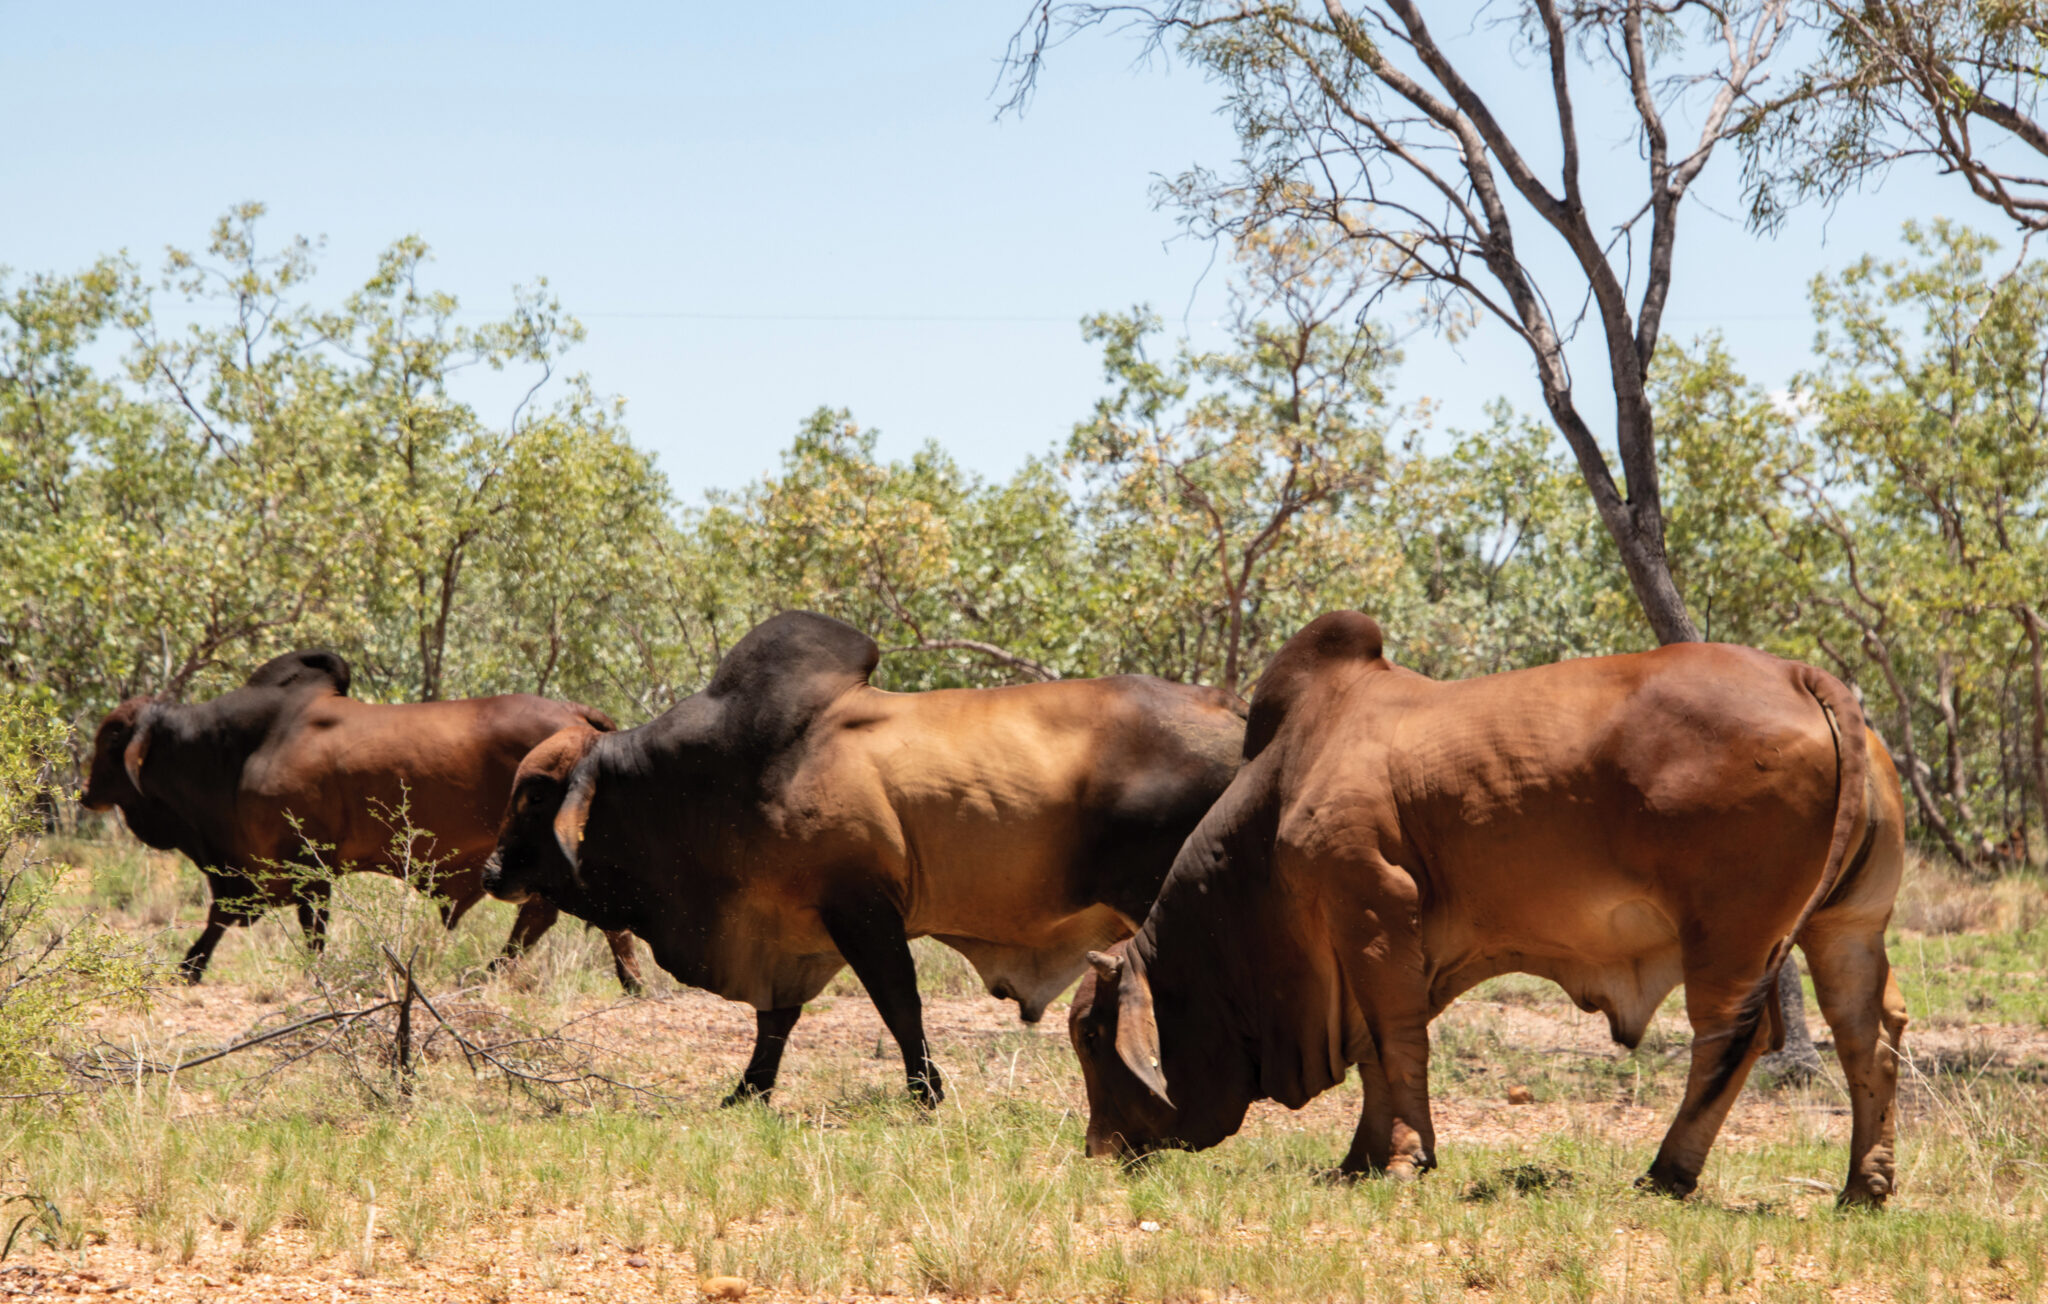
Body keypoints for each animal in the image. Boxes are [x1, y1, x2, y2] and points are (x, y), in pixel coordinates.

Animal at [79, 650, 638, 986]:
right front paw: (190, 968)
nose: (85, 795)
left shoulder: (305, 867)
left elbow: (304, 930)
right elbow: (222, 919)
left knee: (557, 916)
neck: (243, 747)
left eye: (112, 737)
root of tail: (578, 717)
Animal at [483, 605, 1245, 1097]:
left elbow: (899, 1005)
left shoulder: (863, 911)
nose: (492, 871)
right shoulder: (790, 936)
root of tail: (1231, 711)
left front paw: (927, 1094)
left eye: (537, 796)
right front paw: (747, 1093)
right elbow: (776, 1021)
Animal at [1073, 614, 1900, 1203]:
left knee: (1733, 1038)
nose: (1094, 1151)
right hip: (1846, 929)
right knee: (1871, 1035)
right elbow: (1374, 1054)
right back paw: (1864, 1185)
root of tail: (1800, 674)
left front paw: (1403, 1160)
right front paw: (1360, 1159)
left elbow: (1396, 1044)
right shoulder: (1367, 944)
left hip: (1730, 935)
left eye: (1089, 1037)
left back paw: (1668, 1171)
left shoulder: (1373, 910)